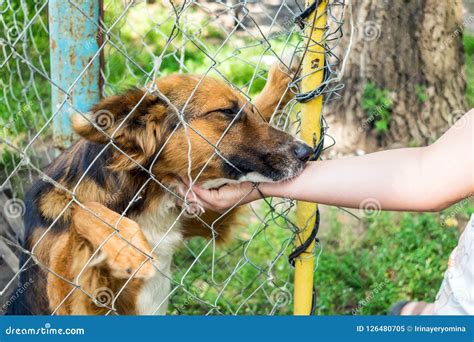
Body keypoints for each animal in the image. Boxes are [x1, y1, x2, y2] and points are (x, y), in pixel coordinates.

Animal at [7, 59, 312, 316]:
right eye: (226, 112)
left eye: (244, 109)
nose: (308, 153)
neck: (149, 194)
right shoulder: (72, 297)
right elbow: (82, 211)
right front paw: (127, 244)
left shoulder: (208, 217)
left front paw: (281, 82)